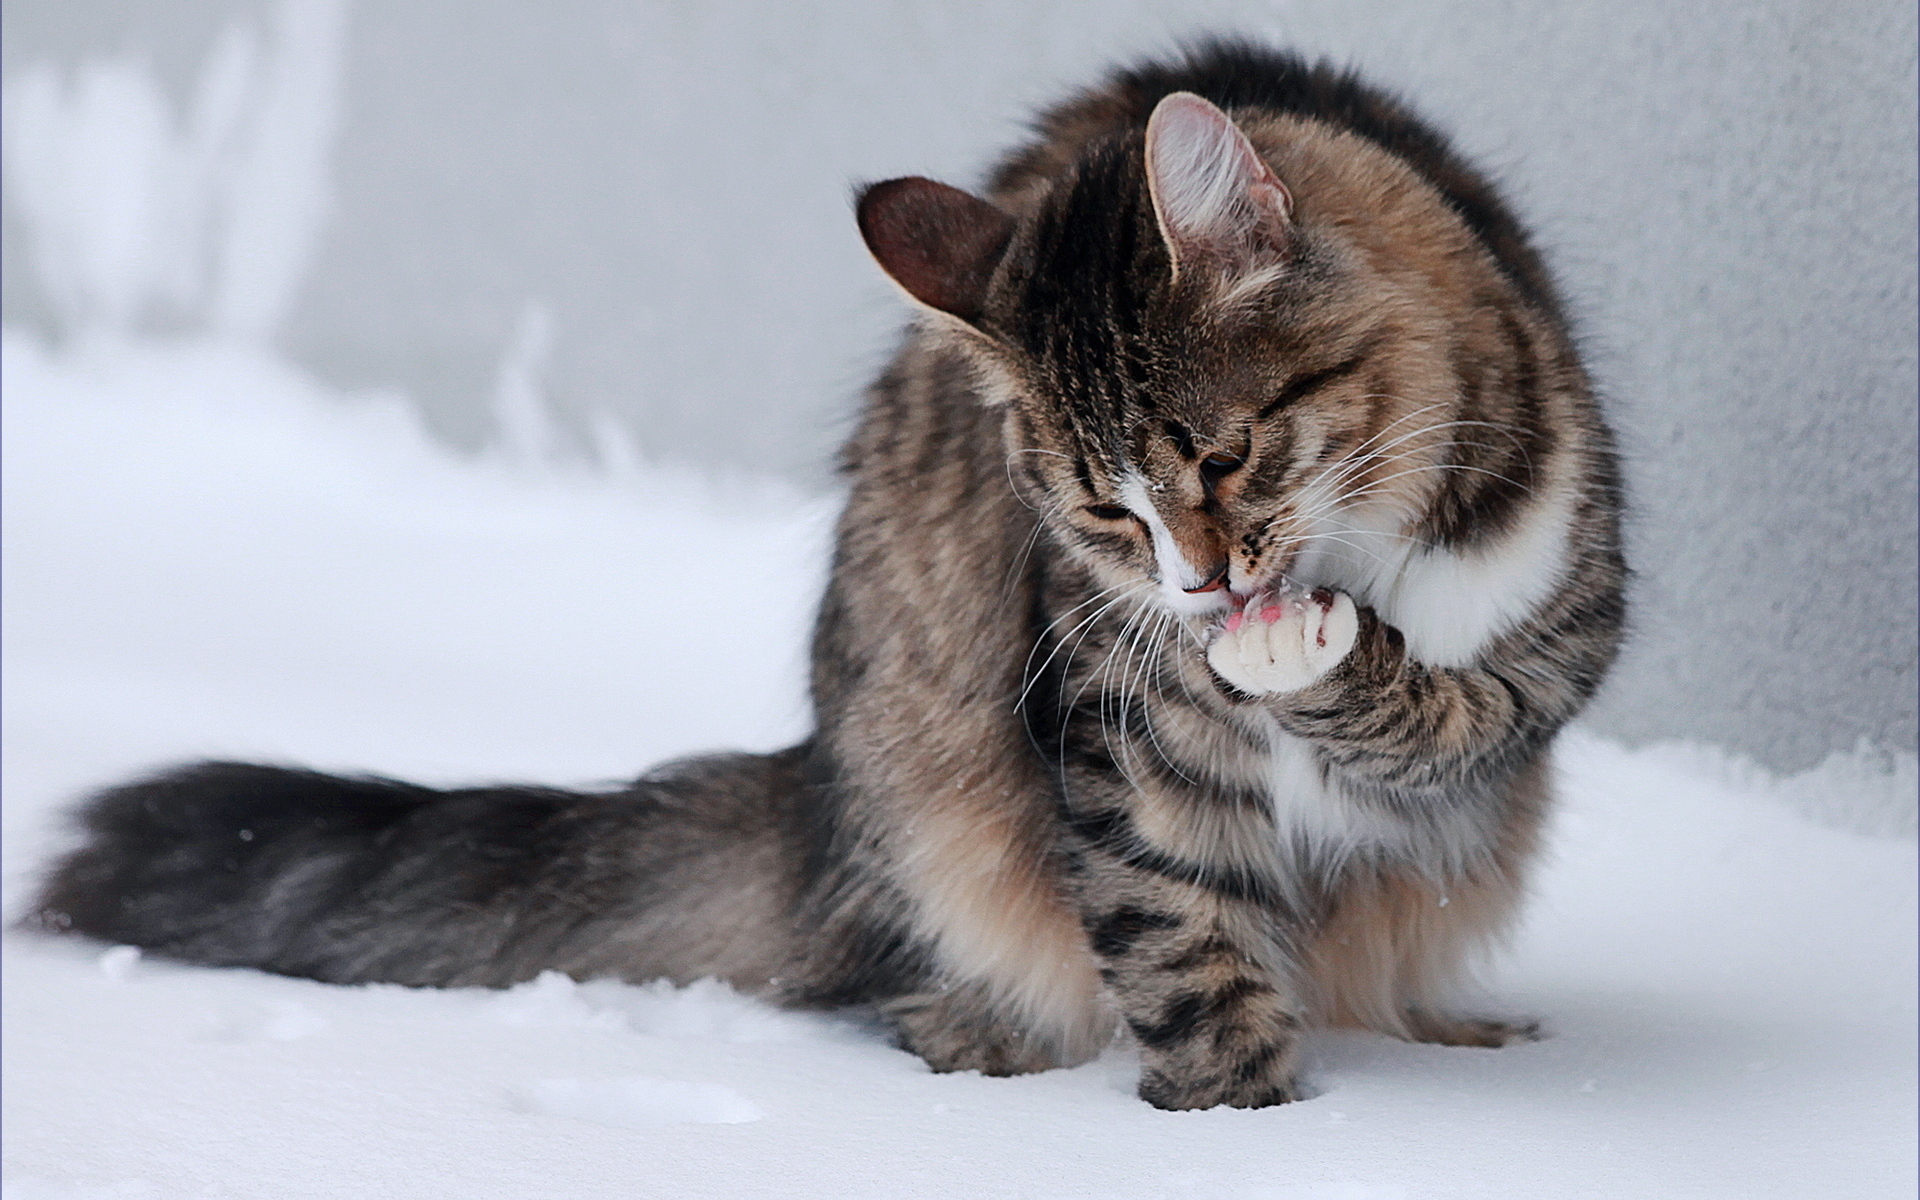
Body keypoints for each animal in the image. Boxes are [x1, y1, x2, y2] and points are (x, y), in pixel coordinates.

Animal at [30, 42, 1620, 1105]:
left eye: (1220, 461)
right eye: (1103, 517)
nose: (1202, 590)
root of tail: (819, 796)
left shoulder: (1566, 624)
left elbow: (1445, 708)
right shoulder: (1117, 729)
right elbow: (1181, 945)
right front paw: (1238, 1123)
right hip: (932, 797)